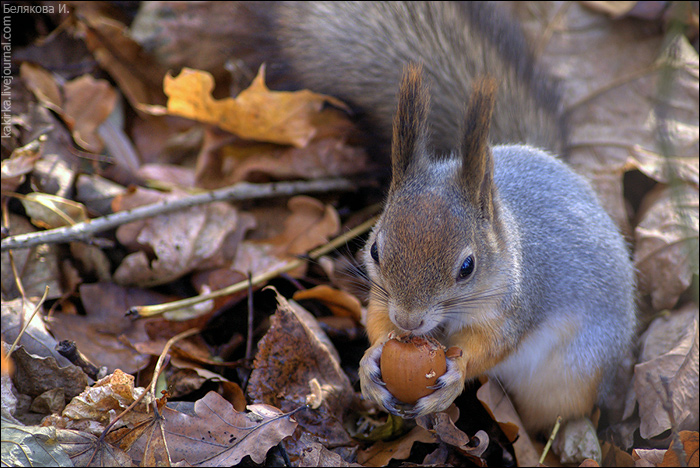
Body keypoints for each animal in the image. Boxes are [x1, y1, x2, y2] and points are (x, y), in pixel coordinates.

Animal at [231, 0, 640, 434]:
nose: (408, 322)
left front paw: (457, 372)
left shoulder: (516, 305)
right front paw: (370, 360)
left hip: (572, 375)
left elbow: (492, 346)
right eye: (374, 250)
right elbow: (376, 317)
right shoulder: (382, 294)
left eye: (468, 267)